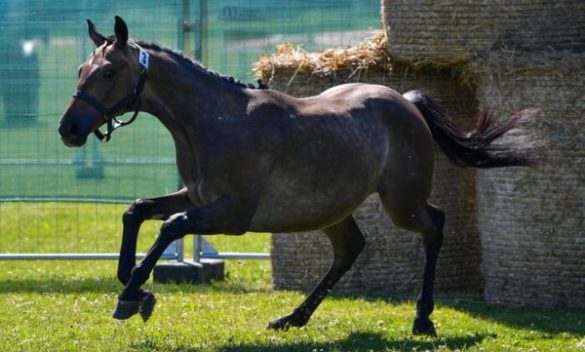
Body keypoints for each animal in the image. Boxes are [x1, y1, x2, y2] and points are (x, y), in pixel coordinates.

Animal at [59, 16, 540, 336]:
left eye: (108, 71)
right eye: (81, 70)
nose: (69, 129)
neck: (214, 121)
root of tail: (407, 101)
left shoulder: (232, 214)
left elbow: (170, 227)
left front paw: (133, 296)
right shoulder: (197, 197)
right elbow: (137, 211)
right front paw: (134, 285)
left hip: (400, 203)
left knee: (434, 225)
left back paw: (423, 319)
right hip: (331, 210)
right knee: (350, 249)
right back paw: (294, 317)